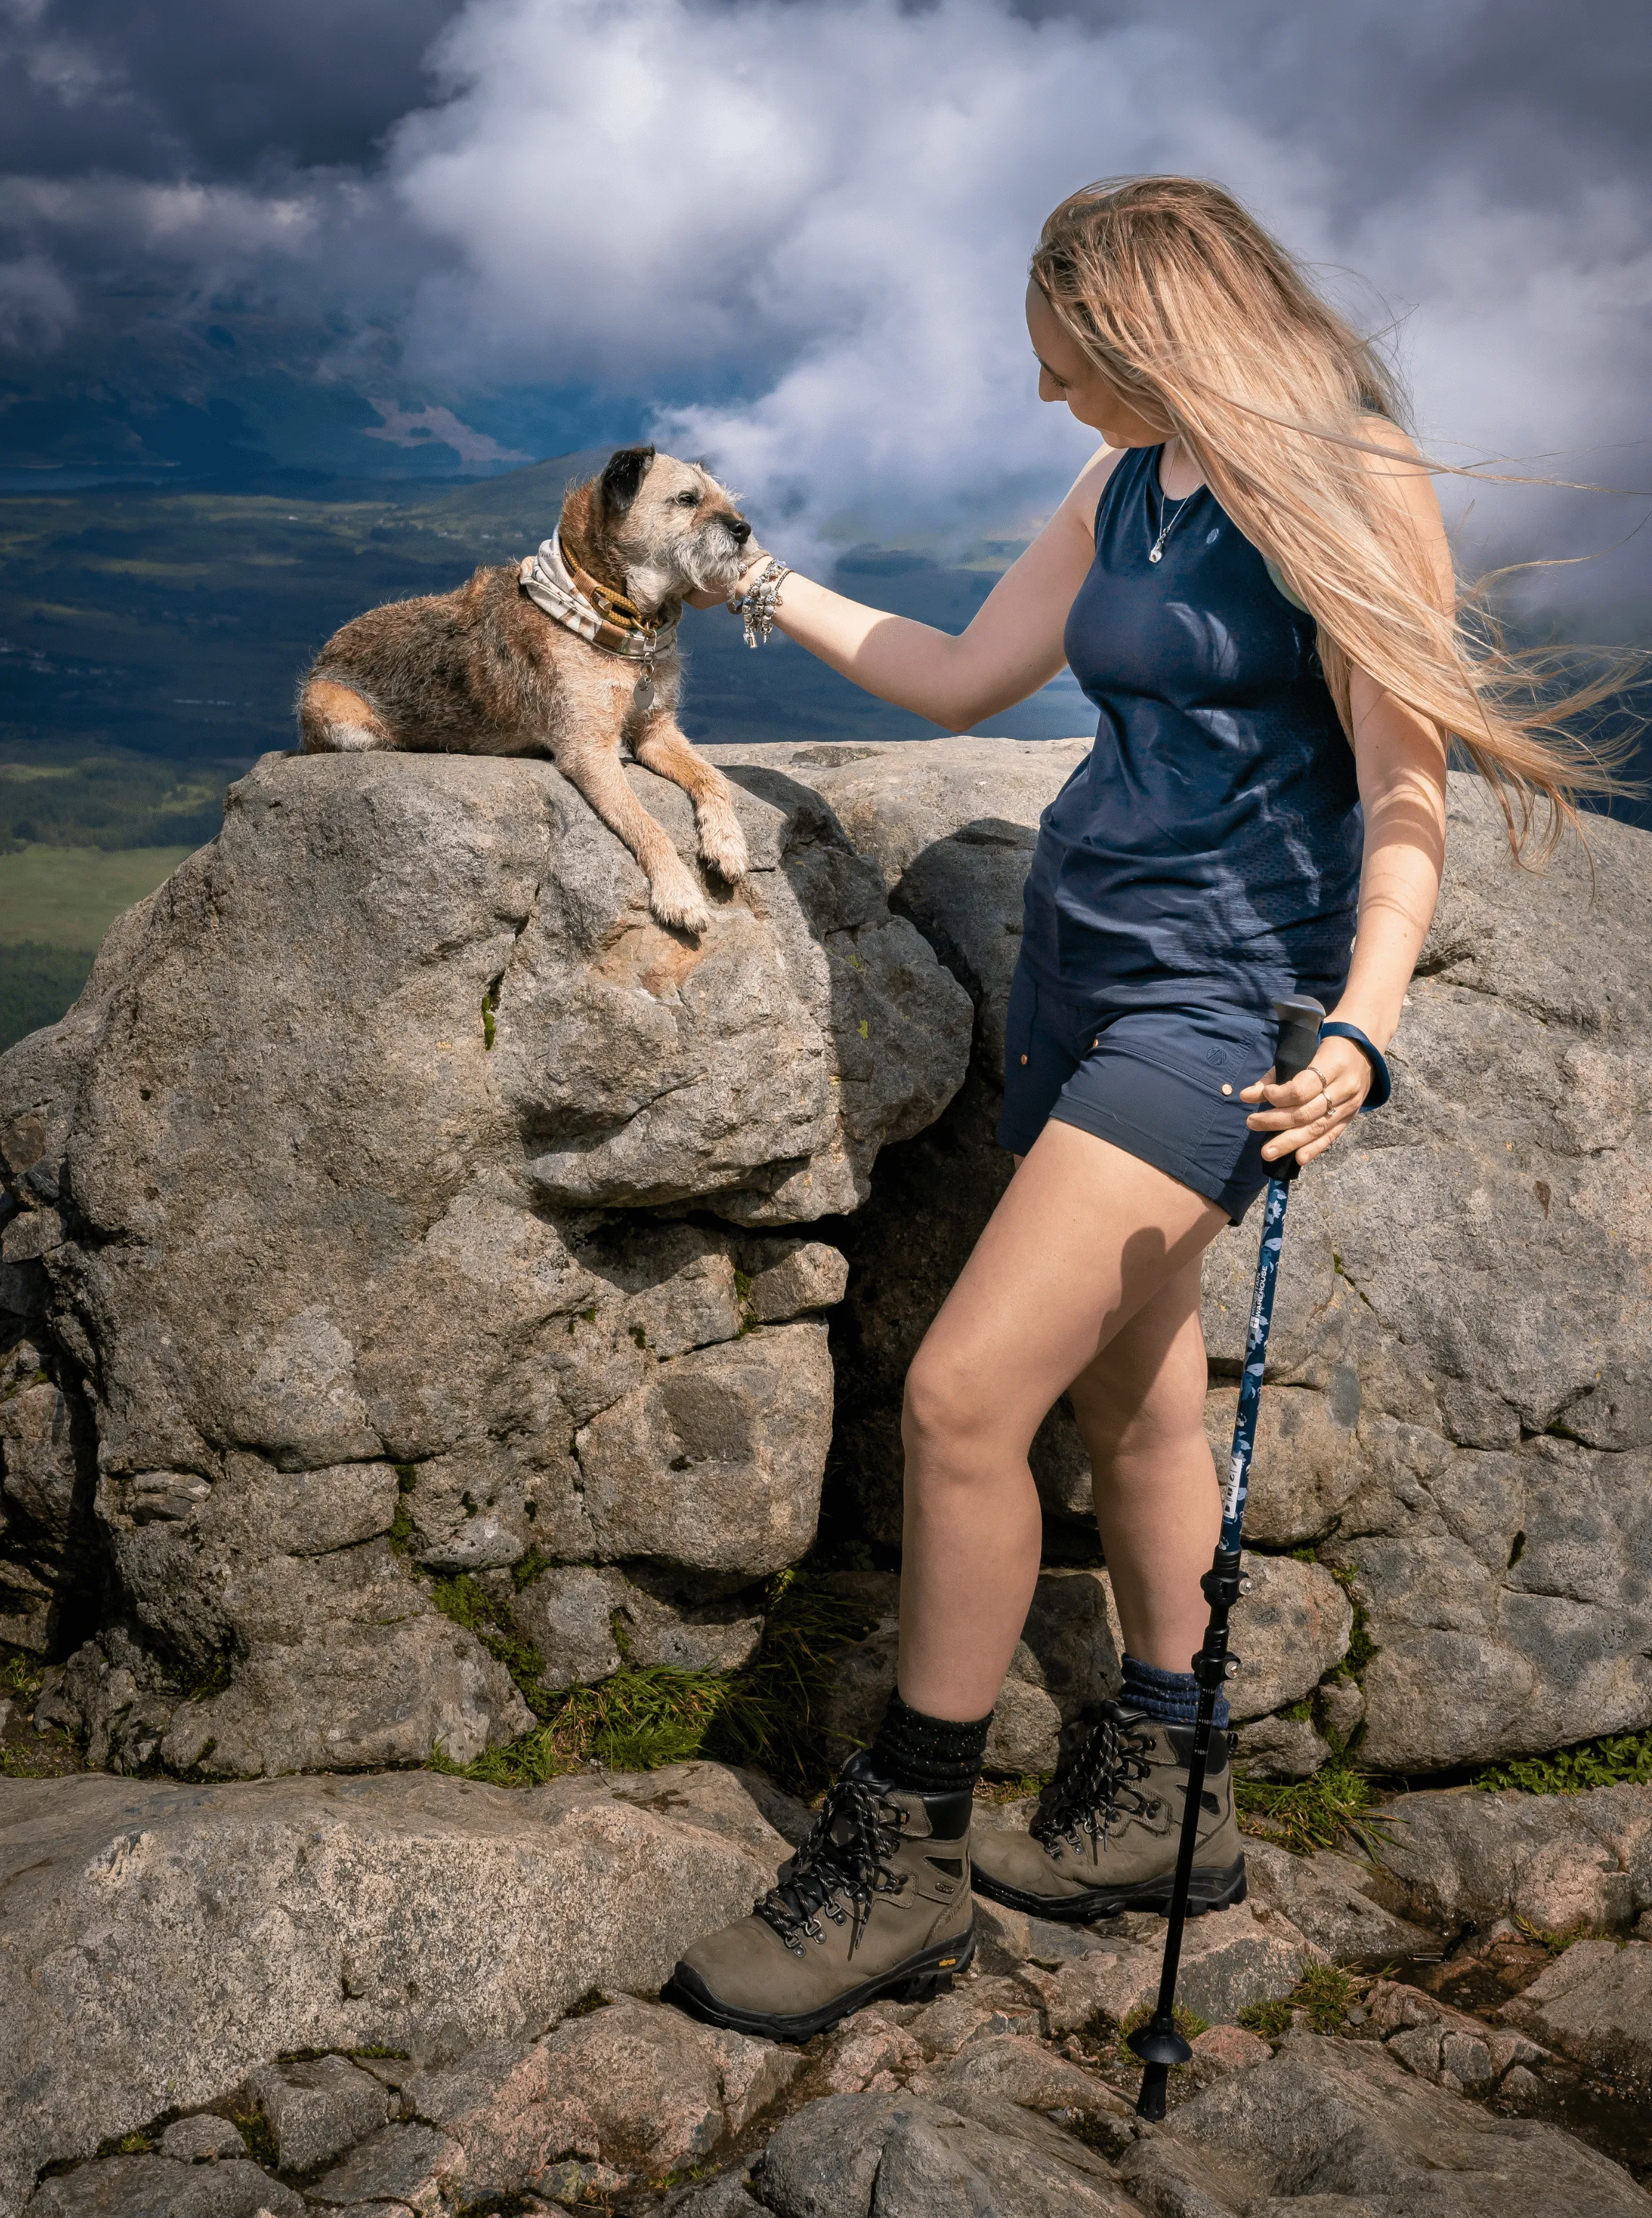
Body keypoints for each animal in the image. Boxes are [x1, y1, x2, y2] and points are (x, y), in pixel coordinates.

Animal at [297, 445, 758, 931]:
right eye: (686, 499)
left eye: (726, 500)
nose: (743, 529)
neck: (618, 615)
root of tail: (325, 654)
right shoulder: (589, 751)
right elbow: (646, 823)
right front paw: (678, 893)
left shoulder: (657, 733)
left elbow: (713, 778)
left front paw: (727, 843)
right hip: (333, 708)